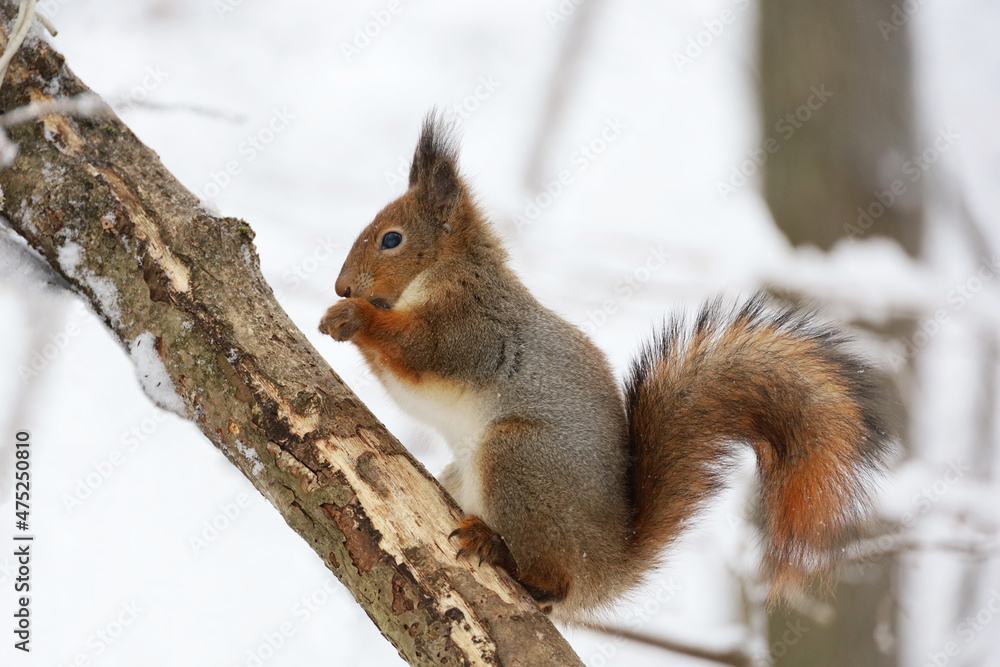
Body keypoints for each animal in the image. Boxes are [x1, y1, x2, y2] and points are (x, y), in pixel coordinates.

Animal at [319, 115, 891, 618]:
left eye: (391, 239)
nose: (342, 287)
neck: (449, 273)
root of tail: (607, 565)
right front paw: (334, 319)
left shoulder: (471, 331)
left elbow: (416, 350)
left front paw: (355, 317)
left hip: (520, 456)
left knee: (551, 581)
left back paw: (499, 549)